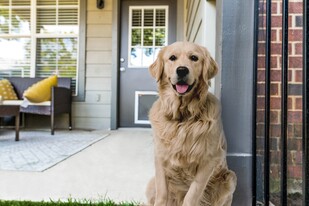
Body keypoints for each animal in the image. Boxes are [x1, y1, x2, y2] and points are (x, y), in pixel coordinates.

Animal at [146, 41, 237, 205]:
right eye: (172, 58)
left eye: (194, 58)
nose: (182, 70)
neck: (182, 117)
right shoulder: (160, 156)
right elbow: (162, 193)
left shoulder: (209, 159)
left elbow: (192, 194)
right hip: (151, 184)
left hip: (231, 178)